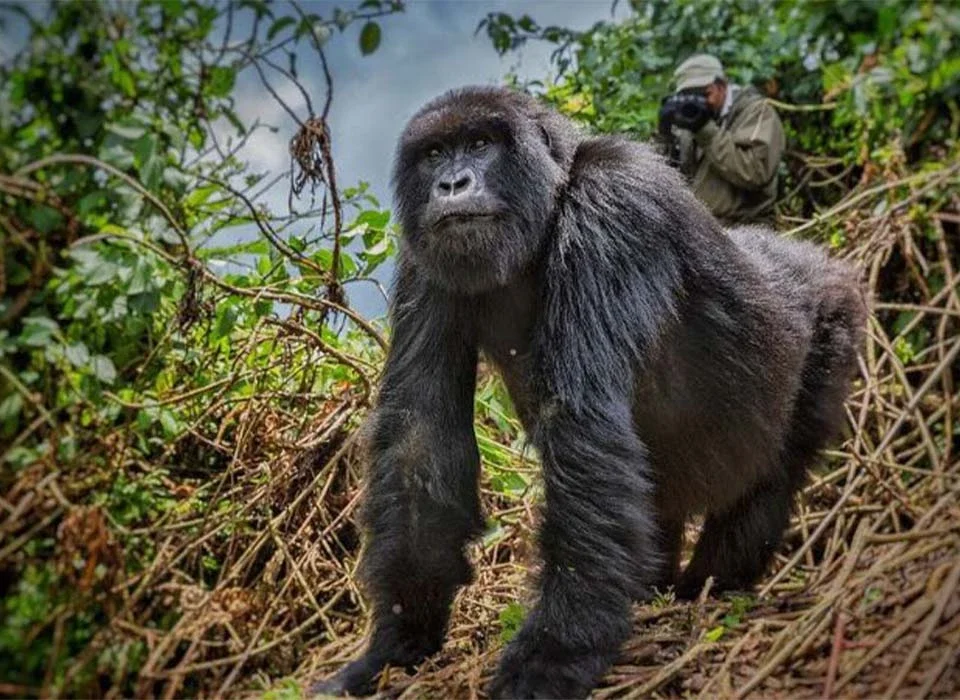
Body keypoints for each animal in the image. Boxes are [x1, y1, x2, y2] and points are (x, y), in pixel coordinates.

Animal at [314, 86, 866, 699]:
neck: (550, 202)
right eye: (434, 154)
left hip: (832, 320)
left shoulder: (615, 204)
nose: (452, 184)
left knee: (771, 476)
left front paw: (554, 655)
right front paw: (397, 640)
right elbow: (420, 433)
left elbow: (581, 422)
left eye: (480, 144)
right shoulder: (423, 255)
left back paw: (710, 587)